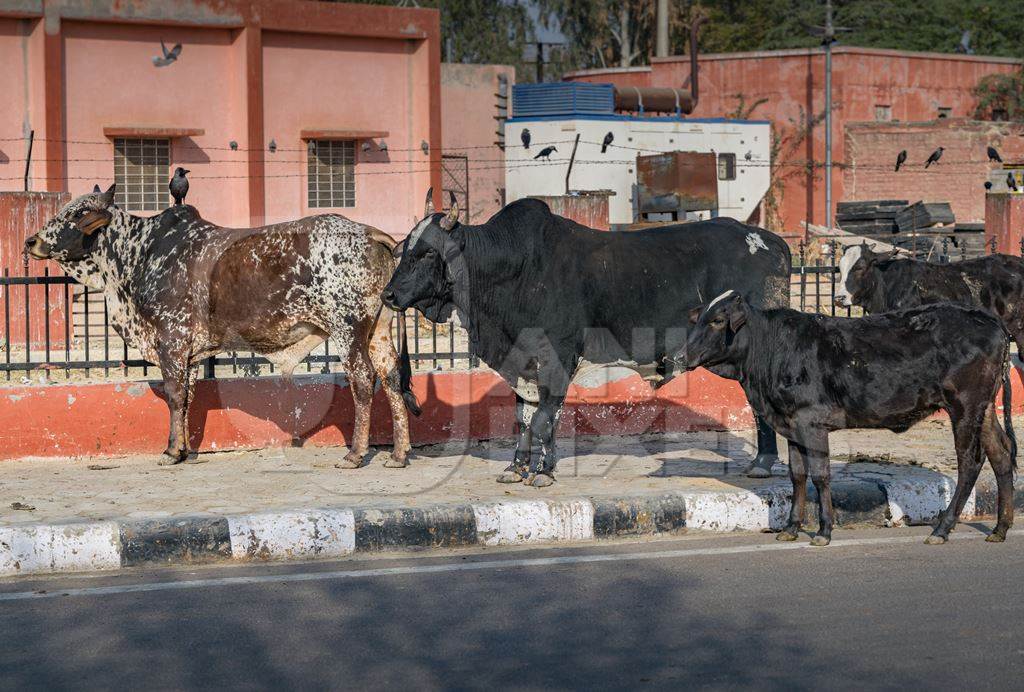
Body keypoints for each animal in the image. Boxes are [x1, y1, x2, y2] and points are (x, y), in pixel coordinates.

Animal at [27, 184, 419, 466]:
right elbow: (188, 398)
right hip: (377, 333)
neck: (138, 253)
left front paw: (171, 452)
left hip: (347, 329)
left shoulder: (171, 340)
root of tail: (368, 232)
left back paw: (354, 454)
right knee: (391, 379)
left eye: (77, 213)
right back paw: (399, 454)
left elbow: (174, 395)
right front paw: (184, 449)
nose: (32, 240)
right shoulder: (189, 353)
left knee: (363, 382)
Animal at [385, 193, 790, 487]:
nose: (388, 295)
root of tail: (773, 242)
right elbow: (523, 418)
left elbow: (543, 420)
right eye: (402, 248)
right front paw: (517, 468)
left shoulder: (557, 358)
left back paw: (764, 462)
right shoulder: (522, 363)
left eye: (427, 252)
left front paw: (544, 472)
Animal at [684, 294, 1011, 548]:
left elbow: (821, 476)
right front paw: (790, 529)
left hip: (965, 406)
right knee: (1001, 454)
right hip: (984, 409)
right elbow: (797, 475)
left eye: (717, 321)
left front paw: (824, 531)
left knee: (970, 462)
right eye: (698, 319)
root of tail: (992, 321)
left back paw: (942, 529)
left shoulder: (812, 422)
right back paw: (999, 528)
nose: (683, 355)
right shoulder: (791, 424)